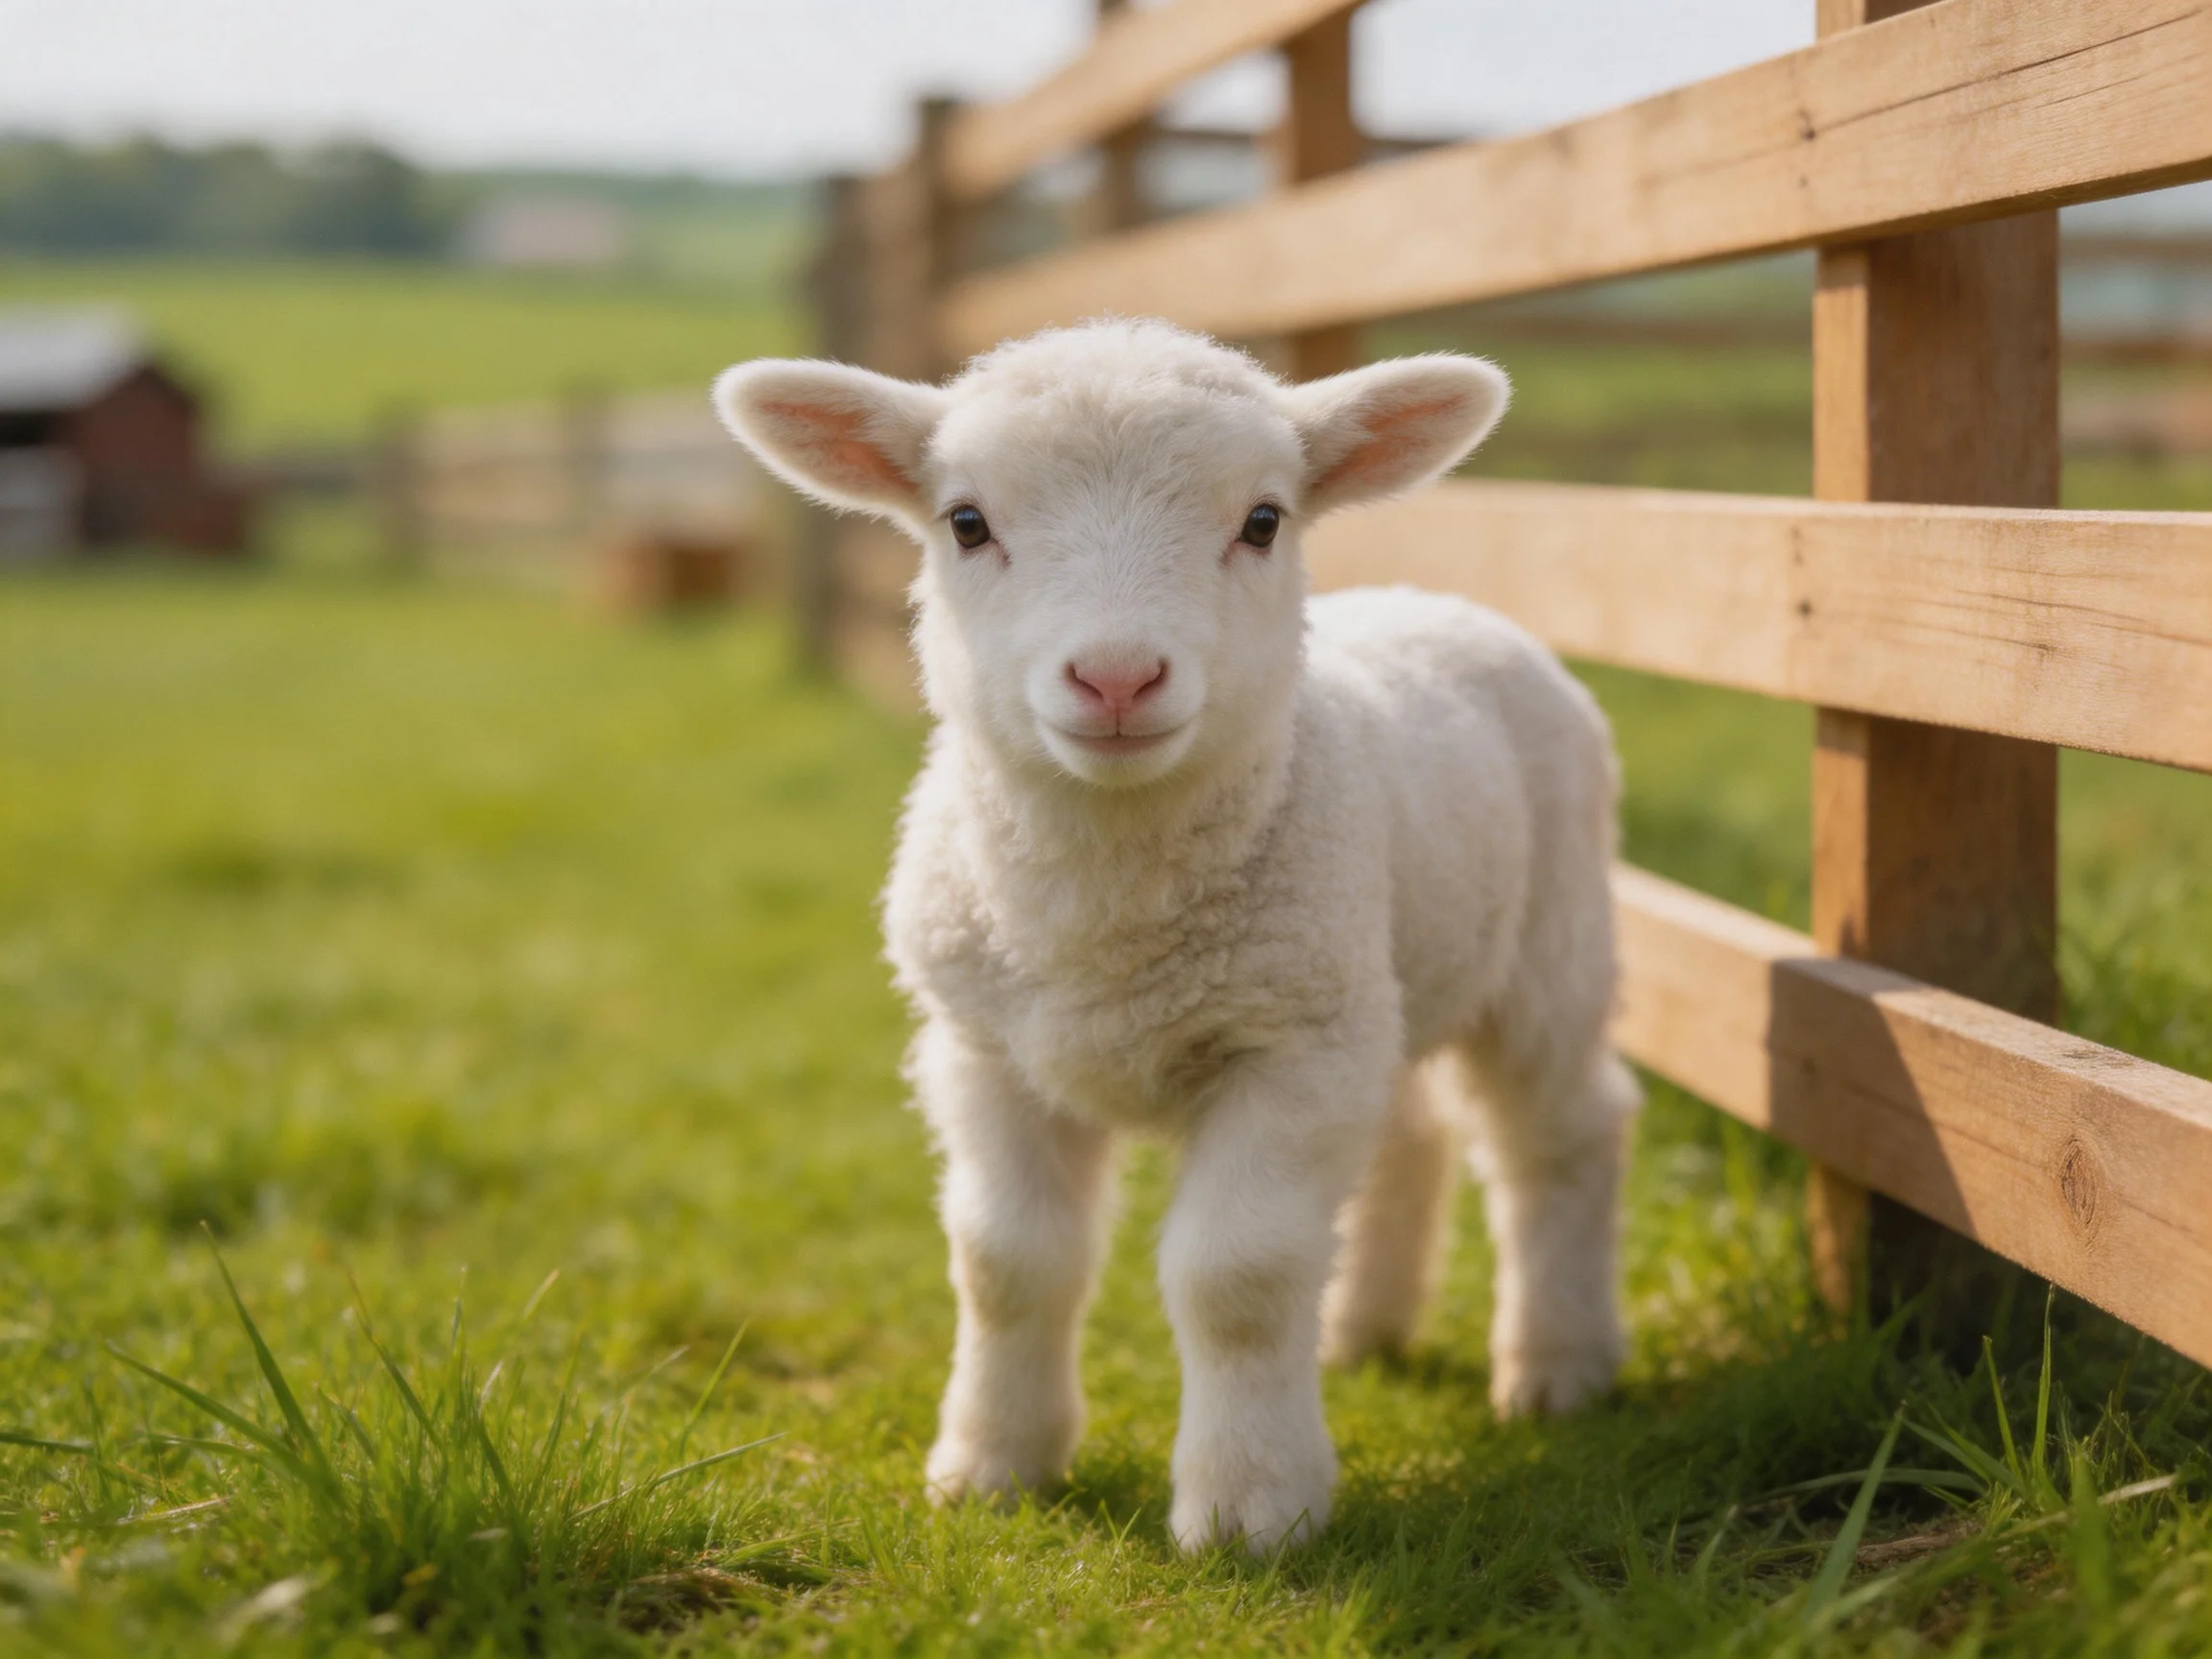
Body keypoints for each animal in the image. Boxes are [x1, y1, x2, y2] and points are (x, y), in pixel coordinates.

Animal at [712, 319, 1637, 1554]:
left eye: (1264, 520)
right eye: (967, 522)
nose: (1116, 676)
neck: (1105, 924)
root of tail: (1433, 597)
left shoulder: (1285, 1048)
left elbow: (1235, 1275)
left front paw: (1251, 1509)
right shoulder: (986, 1051)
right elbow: (1009, 1263)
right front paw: (992, 1466)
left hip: (1544, 947)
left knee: (1561, 1137)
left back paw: (1556, 1365)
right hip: (1372, 975)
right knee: (1411, 1134)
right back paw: (1361, 1331)